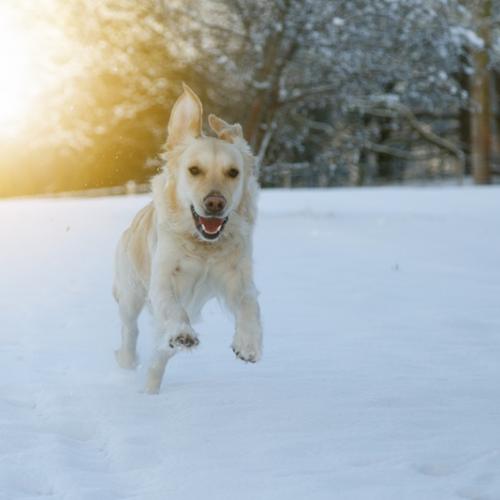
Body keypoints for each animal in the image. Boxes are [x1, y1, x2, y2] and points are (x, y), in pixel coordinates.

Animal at [112, 84, 262, 392]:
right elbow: (173, 308)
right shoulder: (162, 278)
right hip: (130, 292)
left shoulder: (238, 275)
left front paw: (248, 343)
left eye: (233, 172)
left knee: (159, 355)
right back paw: (129, 362)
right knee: (130, 330)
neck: (204, 245)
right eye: (194, 170)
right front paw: (183, 334)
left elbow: (249, 303)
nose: (215, 203)